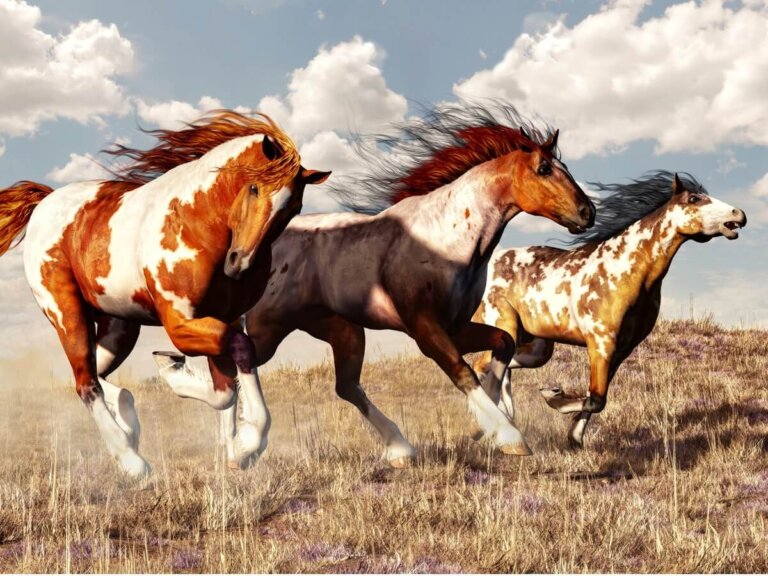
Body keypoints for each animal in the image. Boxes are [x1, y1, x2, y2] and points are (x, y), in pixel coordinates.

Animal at [0, 110, 331, 477]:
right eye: (255, 188)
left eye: (295, 207)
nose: (239, 264)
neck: (196, 223)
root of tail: (45, 202)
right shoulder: (180, 324)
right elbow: (241, 353)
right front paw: (248, 445)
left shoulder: (225, 318)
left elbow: (226, 389)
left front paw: (236, 447)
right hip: (67, 314)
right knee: (86, 384)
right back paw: (132, 461)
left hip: (119, 328)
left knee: (97, 376)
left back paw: (130, 425)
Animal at [153, 101, 595, 468]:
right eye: (544, 169)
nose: (587, 212)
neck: (448, 237)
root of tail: (255, 250)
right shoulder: (425, 327)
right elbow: (461, 370)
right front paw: (507, 436)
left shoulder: (455, 325)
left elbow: (501, 345)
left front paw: (485, 425)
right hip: (271, 327)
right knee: (233, 363)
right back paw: (232, 440)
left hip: (342, 330)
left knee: (343, 386)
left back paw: (397, 450)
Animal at [472, 171, 747, 449]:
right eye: (693, 199)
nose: (739, 214)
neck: (624, 271)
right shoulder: (601, 343)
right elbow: (595, 399)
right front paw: (553, 397)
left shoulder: (622, 349)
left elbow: (596, 399)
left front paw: (574, 438)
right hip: (505, 327)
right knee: (482, 365)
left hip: (537, 347)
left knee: (499, 367)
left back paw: (504, 419)